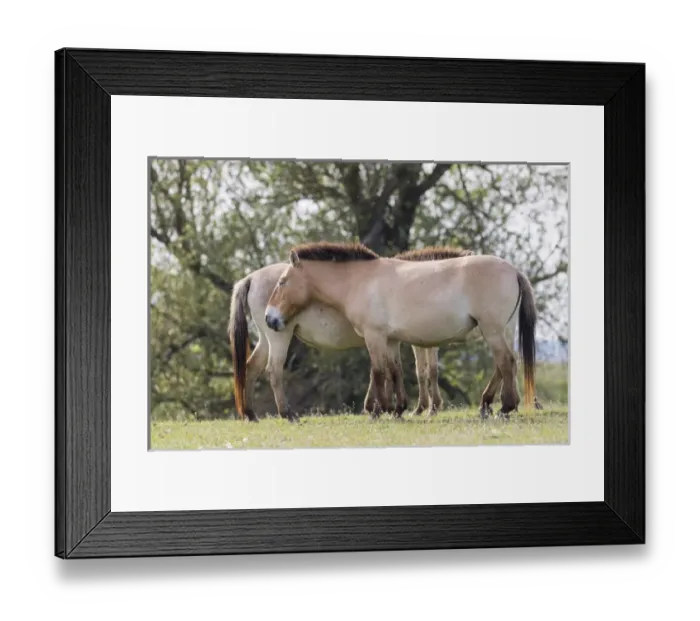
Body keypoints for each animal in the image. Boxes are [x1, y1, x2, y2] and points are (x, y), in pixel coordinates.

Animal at [228, 246, 473, 423]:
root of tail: (251, 277)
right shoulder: (408, 340)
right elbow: (421, 371)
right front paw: (421, 408)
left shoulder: (390, 338)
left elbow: (394, 370)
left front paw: (388, 408)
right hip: (279, 336)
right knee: (274, 370)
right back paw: (287, 413)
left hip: (266, 338)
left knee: (251, 368)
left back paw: (250, 414)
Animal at [264, 241, 539, 420]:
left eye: (282, 282)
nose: (270, 318)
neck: (360, 280)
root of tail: (514, 270)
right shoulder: (391, 340)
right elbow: (394, 371)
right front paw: (397, 409)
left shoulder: (374, 336)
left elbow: (377, 371)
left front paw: (377, 411)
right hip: (500, 331)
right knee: (505, 364)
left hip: (493, 331)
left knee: (506, 362)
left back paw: (504, 407)